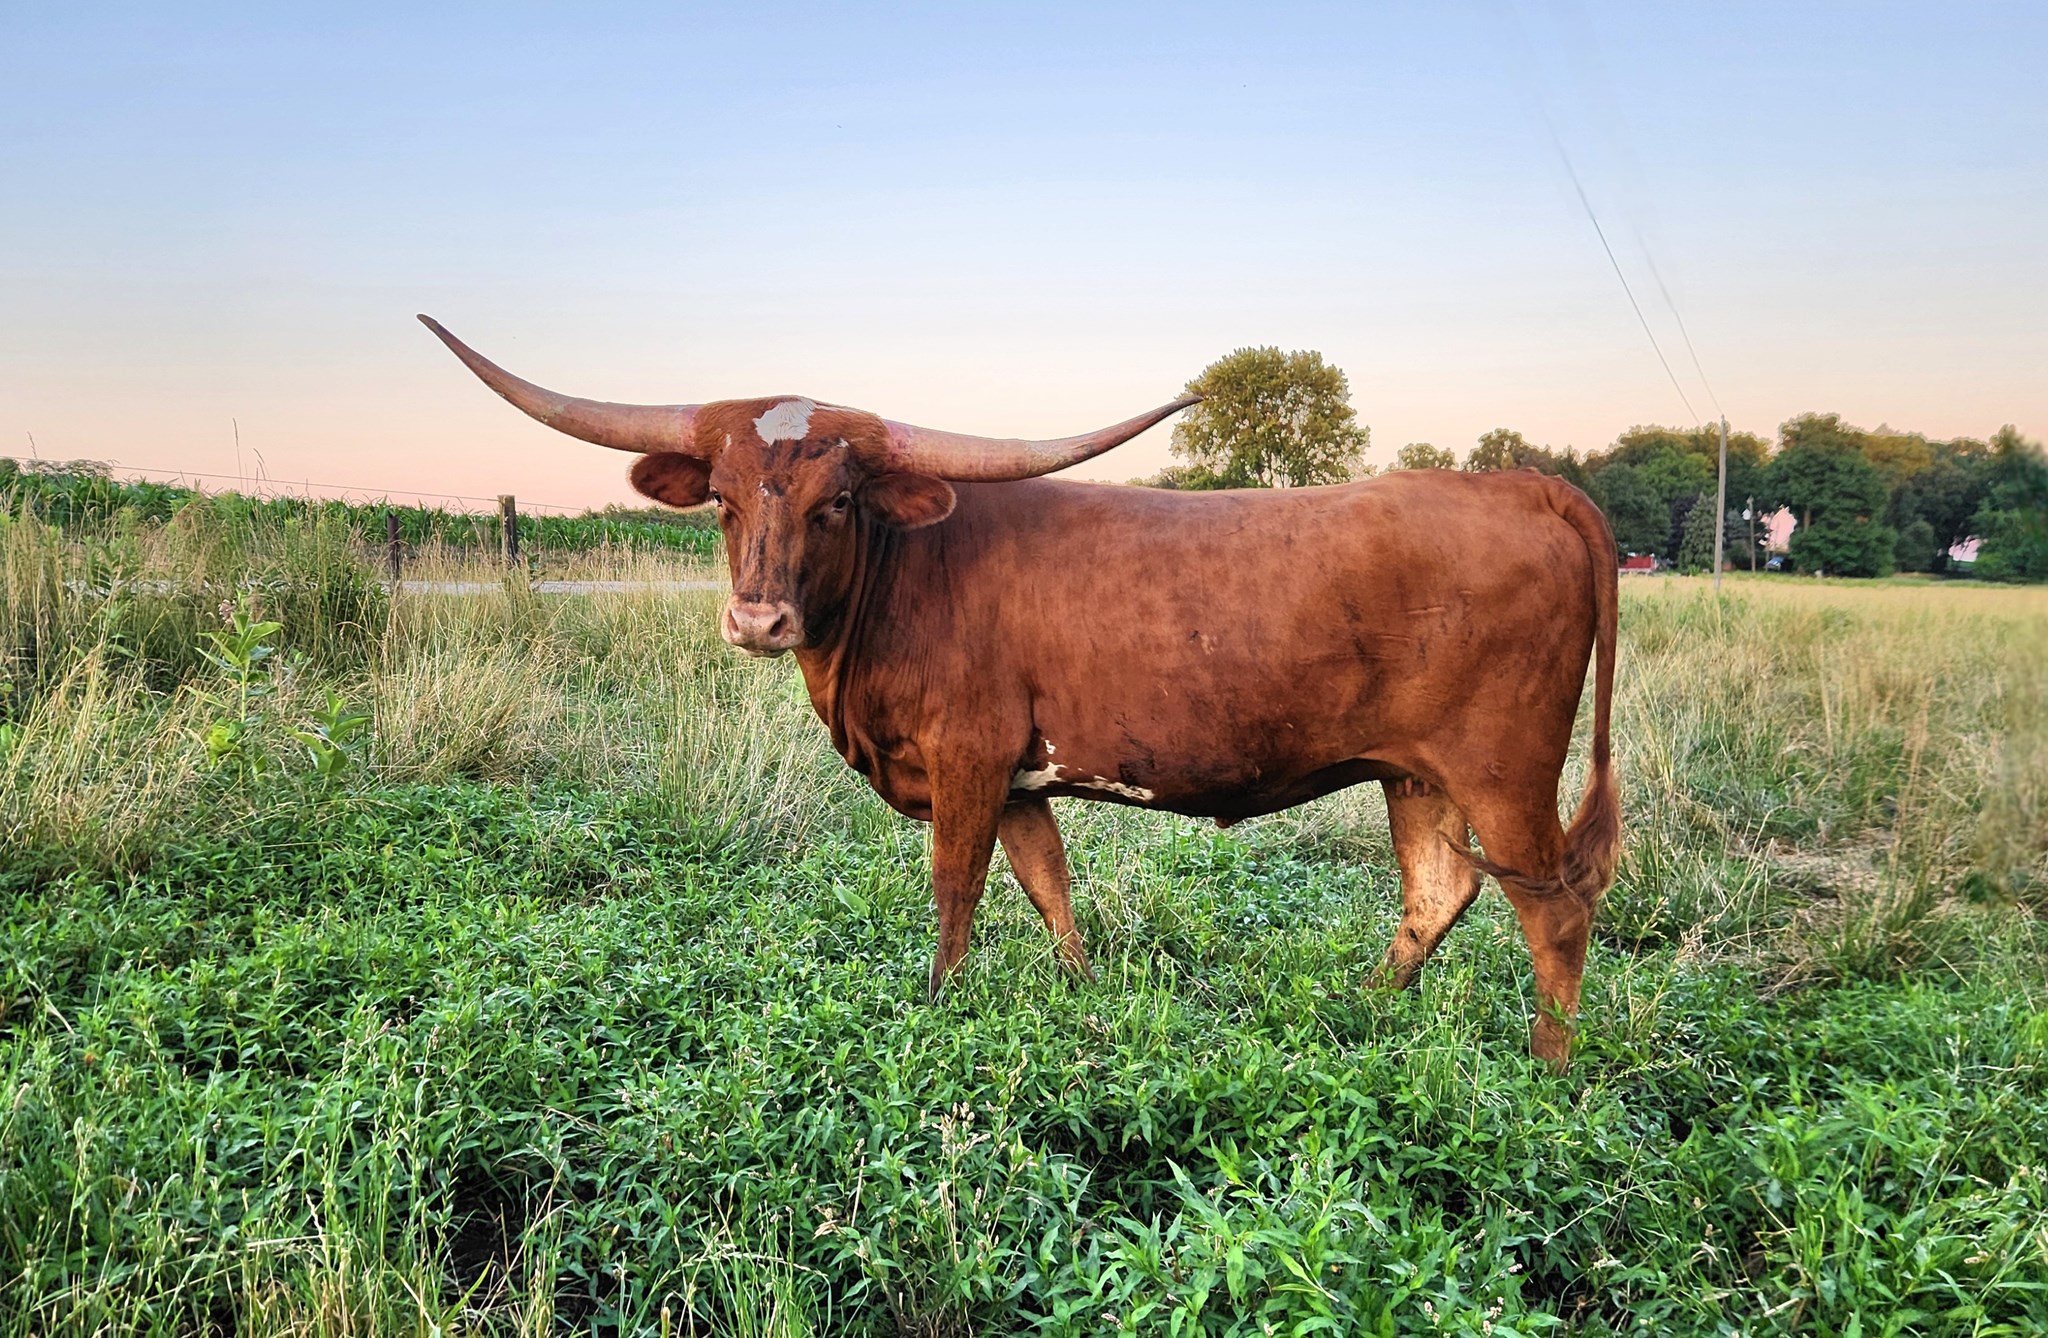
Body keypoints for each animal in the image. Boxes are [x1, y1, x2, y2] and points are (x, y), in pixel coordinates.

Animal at [420, 316, 1621, 1066]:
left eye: (836, 502)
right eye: (720, 499)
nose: (758, 621)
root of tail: (1525, 483)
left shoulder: (964, 758)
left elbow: (955, 892)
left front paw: (936, 1009)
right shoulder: (1018, 779)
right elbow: (1049, 889)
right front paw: (1084, 1001)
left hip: (1504, 768)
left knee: (1553, 906)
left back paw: (1546, 1075)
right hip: (1413, 773)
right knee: (1439, 892)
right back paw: (1352, 1013)